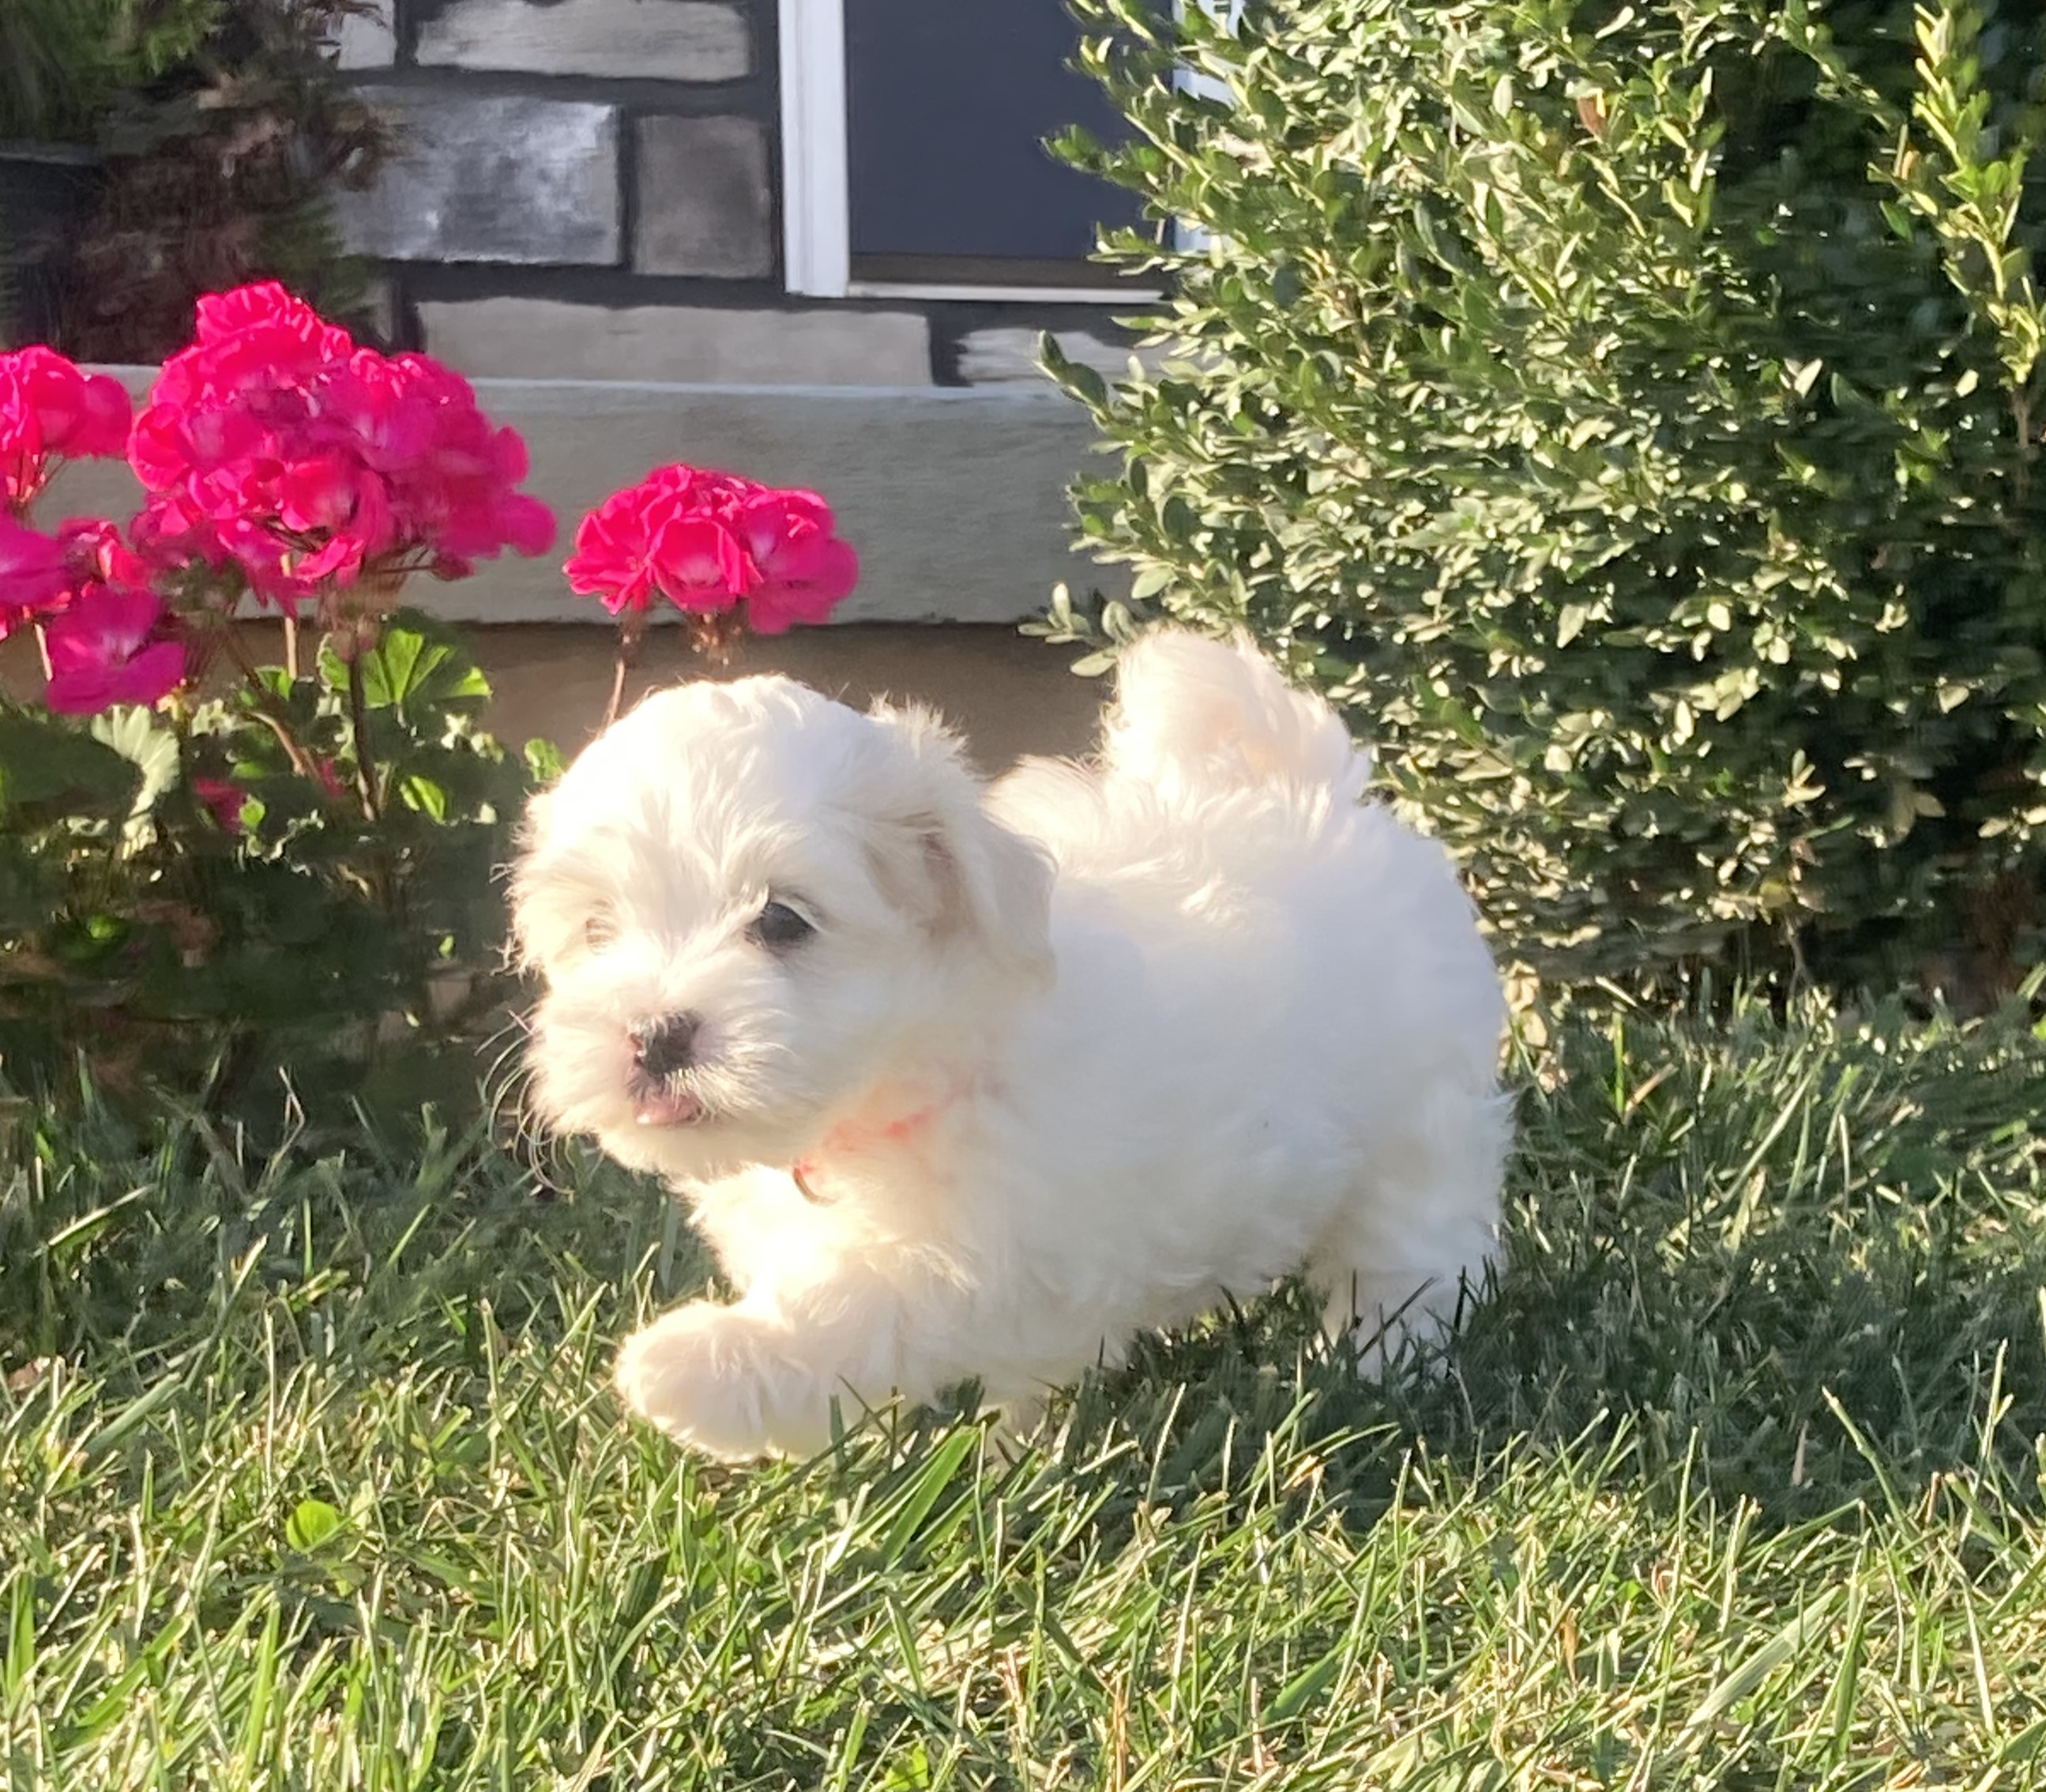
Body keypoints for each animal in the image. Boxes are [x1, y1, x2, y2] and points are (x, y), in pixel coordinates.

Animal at [511, 630, 1506, 1456]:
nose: (653, 1034)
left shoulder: (986, 1259)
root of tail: (1316, 792)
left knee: (1410, 1259)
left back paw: (1375, 1370)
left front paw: (689, 1369)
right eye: (597, 928)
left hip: (1415, 1129)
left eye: (784, 921)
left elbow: (856, 1308)